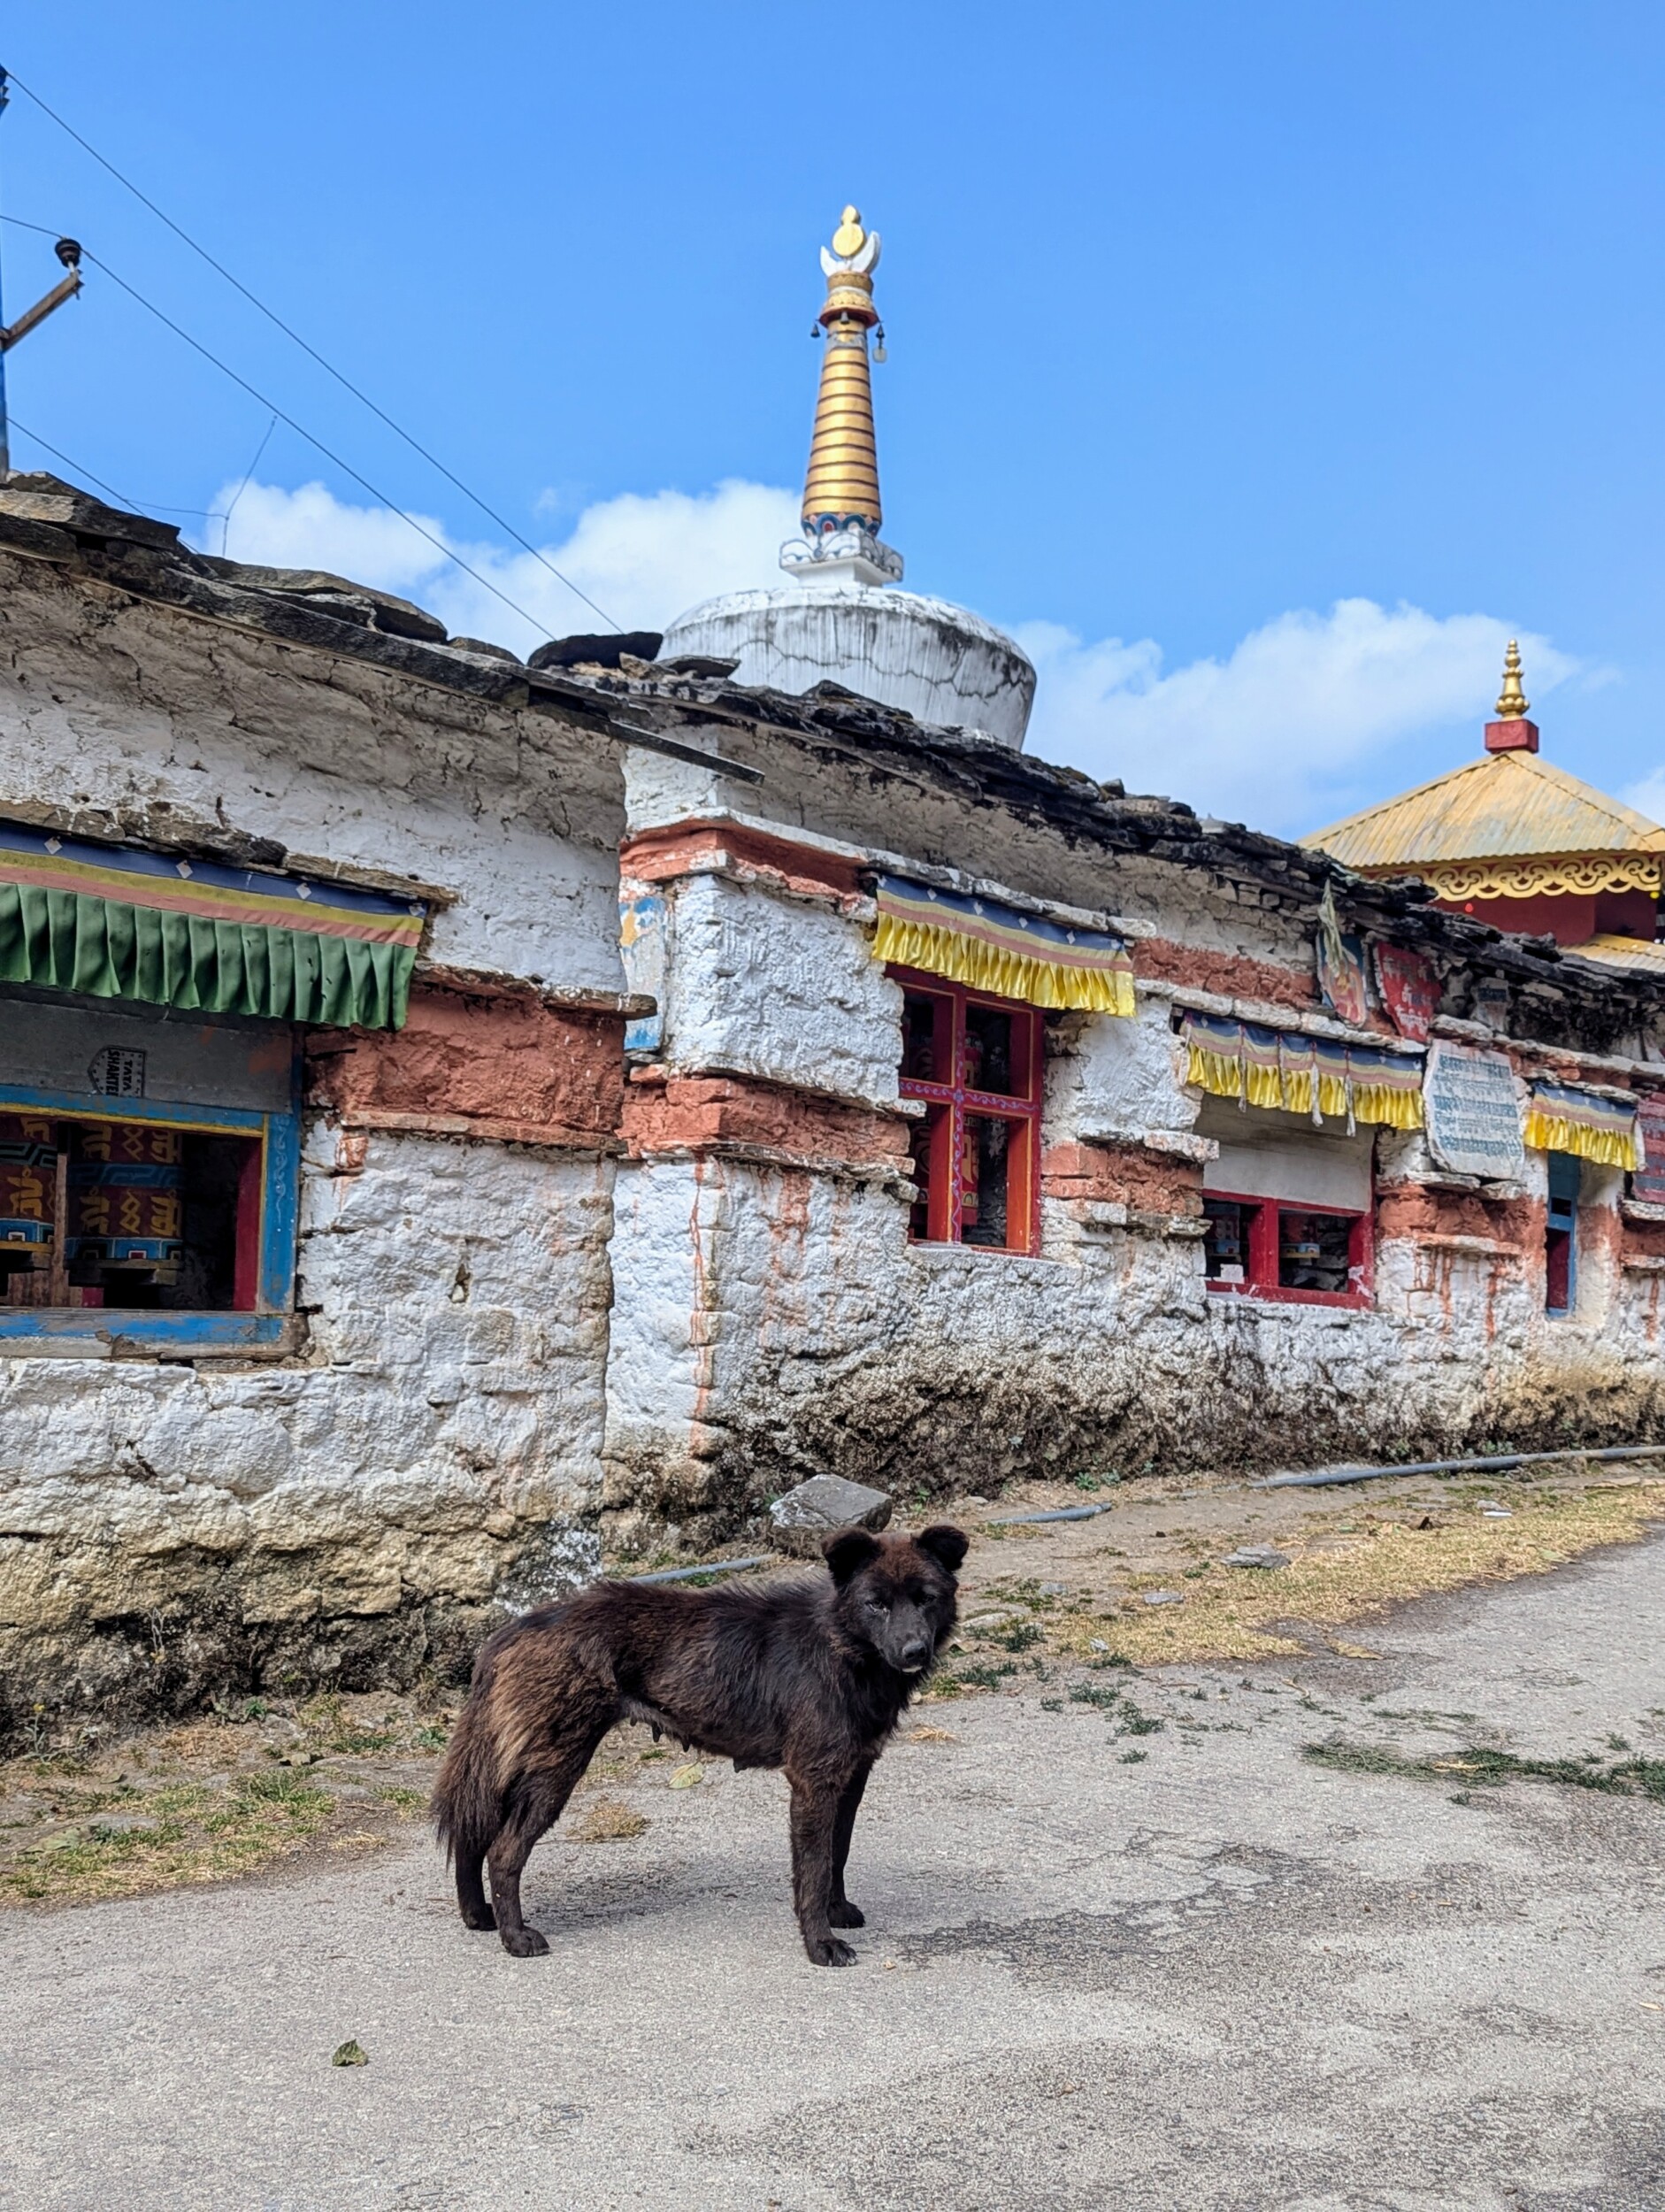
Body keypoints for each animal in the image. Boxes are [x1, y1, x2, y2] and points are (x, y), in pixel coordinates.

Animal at [431, 1522, 959, 1973]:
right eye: (876, 1604)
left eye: (926, 1599)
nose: (914, 1652)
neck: (840, 1644)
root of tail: (513, 1629)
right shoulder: (814, 1781)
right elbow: (812, 1869)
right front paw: (820, 1943)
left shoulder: (851, 1776)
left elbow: (838, 1852)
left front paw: (837, 1909)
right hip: (554, 1769)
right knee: (502, 1849)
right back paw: (515, 1937)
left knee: (473, 1832)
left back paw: (479, 1917)